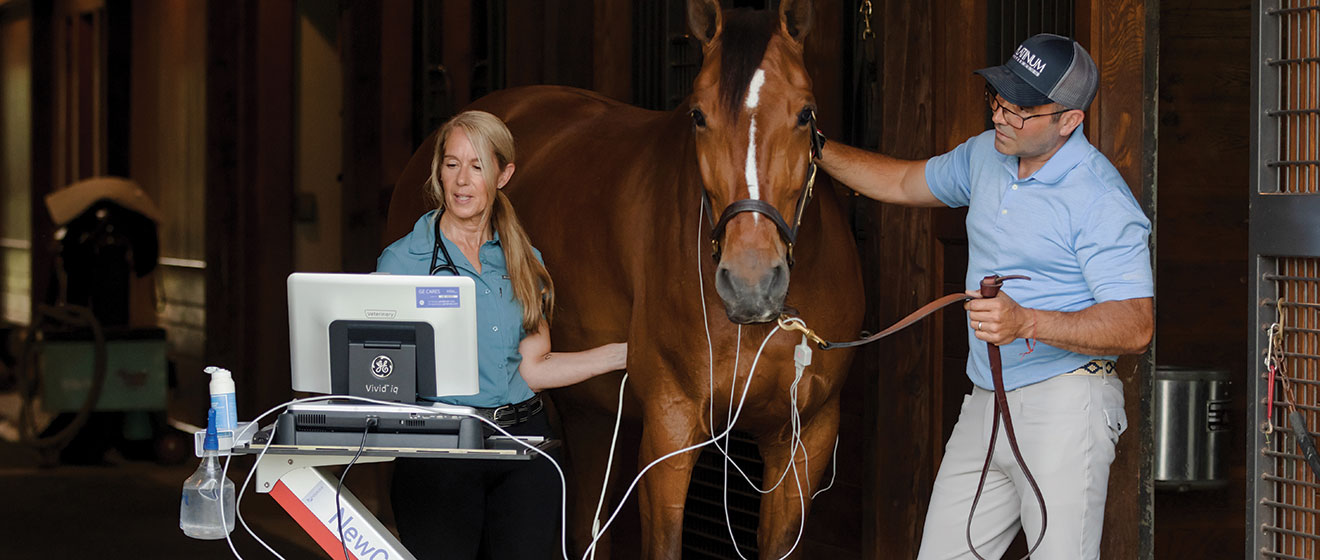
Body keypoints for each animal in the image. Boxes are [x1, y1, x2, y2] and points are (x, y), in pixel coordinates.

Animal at [385, 1, 865, 554]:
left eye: (805, 112)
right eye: (698, 115)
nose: (751, 282)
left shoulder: (805, 438)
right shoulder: (669, 431)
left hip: (591, 416)